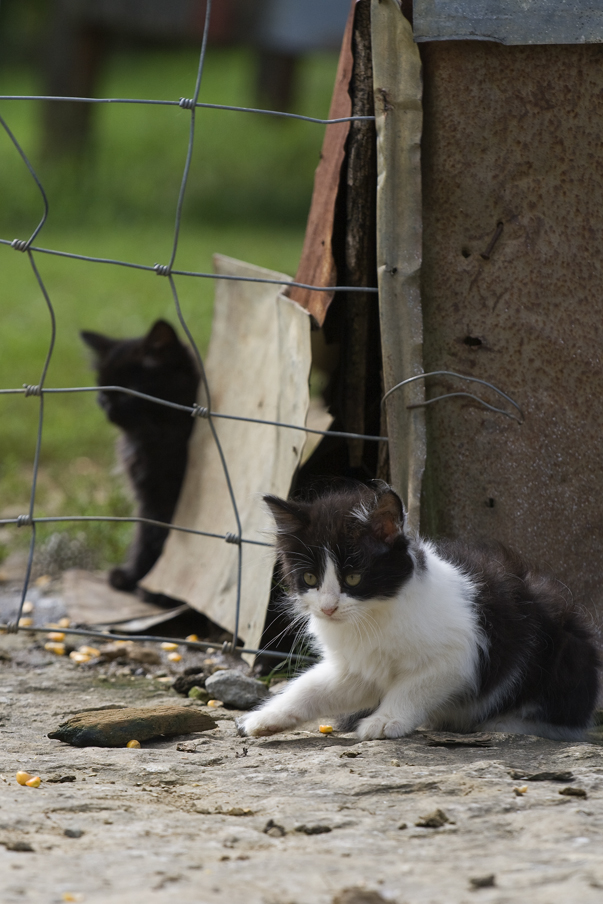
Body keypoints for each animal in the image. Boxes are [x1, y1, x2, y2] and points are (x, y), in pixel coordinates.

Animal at [81, 320, 201, 592]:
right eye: (102, 394)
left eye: (128, 392)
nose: (108, 409)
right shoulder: (149, 499)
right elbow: (147, 534)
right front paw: (134, 575)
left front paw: (158, 593)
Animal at [239, 484, 600, 740]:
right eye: (310, 579)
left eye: (354, 578)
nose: (328, 608)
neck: (374, 613)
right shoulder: (357, 668)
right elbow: (312, 686)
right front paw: (266, 717)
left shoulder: (458, 656)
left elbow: (413, 686)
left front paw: (385, 720)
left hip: (562, 656)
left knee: (563, 719)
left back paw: (506, 723)